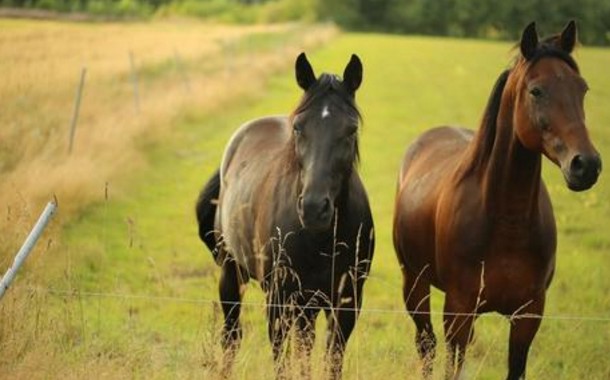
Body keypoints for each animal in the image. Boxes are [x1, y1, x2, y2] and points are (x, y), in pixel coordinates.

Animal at [197, 52, 372, 378]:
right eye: (298, 127)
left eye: (351, 129)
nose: (314, 208)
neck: (319, 238)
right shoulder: (278, 298)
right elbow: (281, 359)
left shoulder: (347, 302)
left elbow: (331, 359)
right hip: (231, 272)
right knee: (231, 335)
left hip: (306, 305)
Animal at [394, 21, 600, 380]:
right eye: (536, 91)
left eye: (582, 89)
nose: (585, 165)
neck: (507, 222)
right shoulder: (458, 312)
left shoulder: (528, 316)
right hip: (415, 284)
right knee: (426, 344)